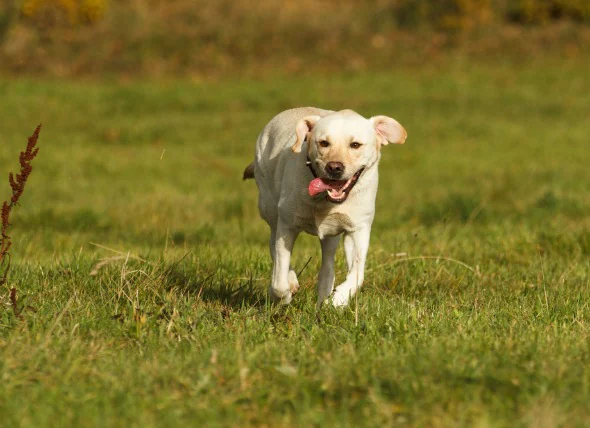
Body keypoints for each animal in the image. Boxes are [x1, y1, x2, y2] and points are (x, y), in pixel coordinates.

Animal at [244, 107, 408, 308]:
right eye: (323, 143)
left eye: (355, 144)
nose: (334, 167)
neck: (325, 201)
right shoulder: (287, 225)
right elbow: (279, 276)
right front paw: (285, 293)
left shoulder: (358, 229)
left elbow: (357, 273)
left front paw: (339, 299)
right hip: (270, 207)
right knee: (273, 244)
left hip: (331, 235)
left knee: (328, 264)